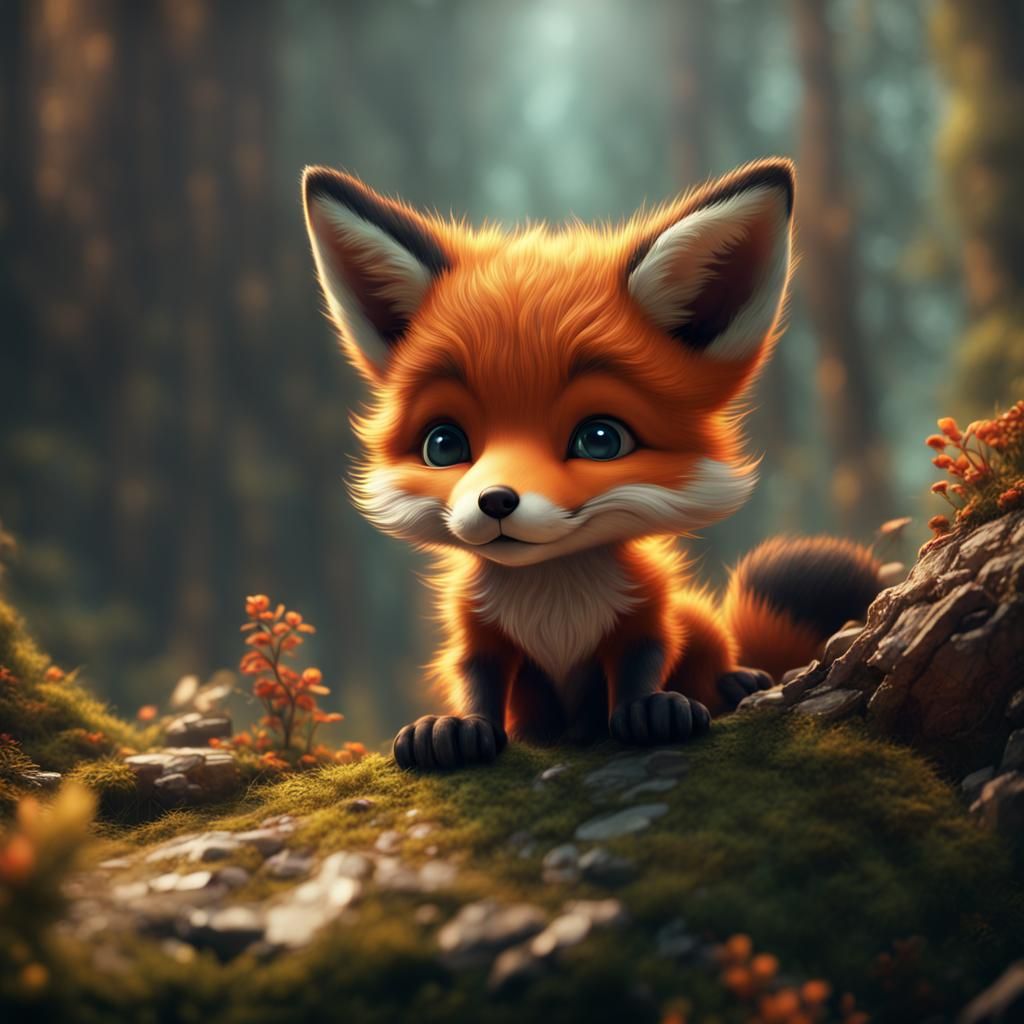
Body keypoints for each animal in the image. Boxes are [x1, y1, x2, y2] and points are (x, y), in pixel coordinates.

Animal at [301, 158, 882, 771]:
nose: (496, 501)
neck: (554, 599)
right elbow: (476, 679)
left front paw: (652, 712)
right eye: (444, 445)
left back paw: (736, 680)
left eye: (600, 439)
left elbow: (641, 661)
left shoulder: (646, 607)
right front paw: (453, 729)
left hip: (696, 619)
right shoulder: (475, 628)